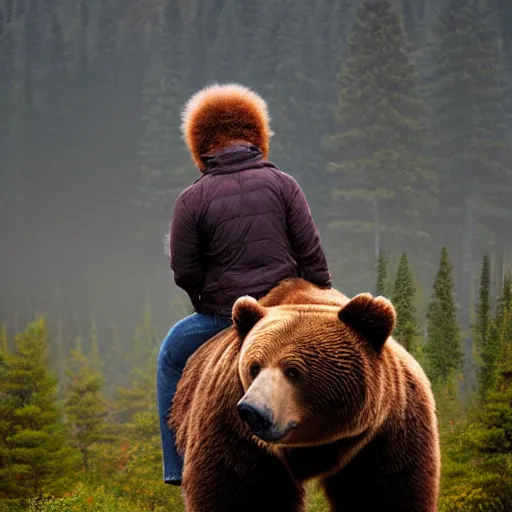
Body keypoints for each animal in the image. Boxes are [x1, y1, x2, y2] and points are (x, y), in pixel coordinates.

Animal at [169, 278, 440, 510]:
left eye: (292, 371)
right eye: (253, 367)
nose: (252, 411)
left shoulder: (387, 431)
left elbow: (387, 493)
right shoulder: (232, 429)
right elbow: (236, 492)